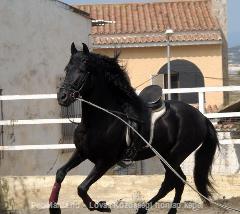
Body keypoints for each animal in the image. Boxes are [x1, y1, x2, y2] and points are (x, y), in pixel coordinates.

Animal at [49, 42, 220, 213]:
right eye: (67, 69)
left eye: (83, 70)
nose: (62, 97)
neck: (99, 120)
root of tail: (202, 118)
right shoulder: (81, 152)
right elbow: (60, 173)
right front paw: (53, 206)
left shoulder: (106, 161)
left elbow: (82, 188)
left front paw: (102, 206)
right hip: (166, 155)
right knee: (179, 181)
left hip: (174, 156)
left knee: (170, 182)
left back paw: (143, 209)